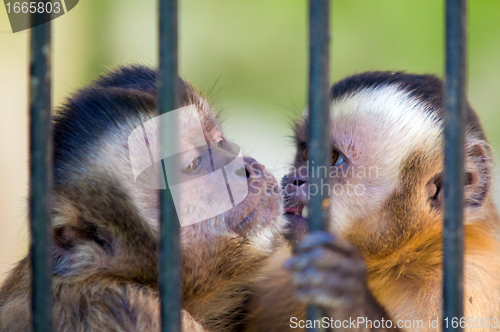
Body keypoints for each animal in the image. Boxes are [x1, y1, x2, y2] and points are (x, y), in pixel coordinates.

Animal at [247, 71, 500, 330]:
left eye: (333, 158)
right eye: (305, 153)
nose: (294, 179)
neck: (411, 254)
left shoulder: (471, 284)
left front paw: (345, 295)